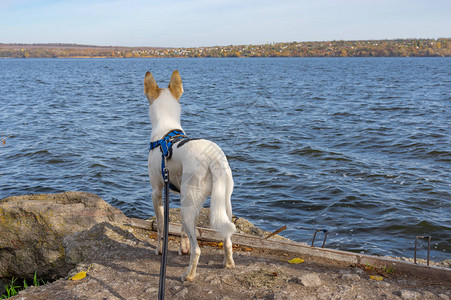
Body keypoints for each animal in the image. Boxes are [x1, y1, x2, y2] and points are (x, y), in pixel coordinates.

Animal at [144, 70, 237, 282]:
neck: (166, 131)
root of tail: (213, 157)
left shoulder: (157, 192)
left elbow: (162, 227)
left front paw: (160, 250)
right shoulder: (178, 193)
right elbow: (182, 232)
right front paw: (182, 248)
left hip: (188, 207)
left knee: (198, 250)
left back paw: (188, 275)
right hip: (221, 204)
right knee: (227, 238)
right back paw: (228, 263)